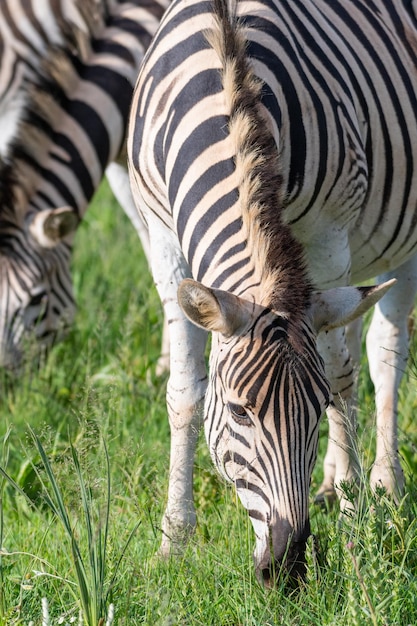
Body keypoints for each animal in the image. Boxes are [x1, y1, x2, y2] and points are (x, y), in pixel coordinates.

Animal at [127, 0, 417, 584]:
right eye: (239, 413)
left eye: (313, 408)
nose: (287, 568)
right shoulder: (165, 244)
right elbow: (184, 393)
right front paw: (174, 541)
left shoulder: (327, 242)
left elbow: (342, 380)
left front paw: (354, 524)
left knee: (385, 355)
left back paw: (383, 484)